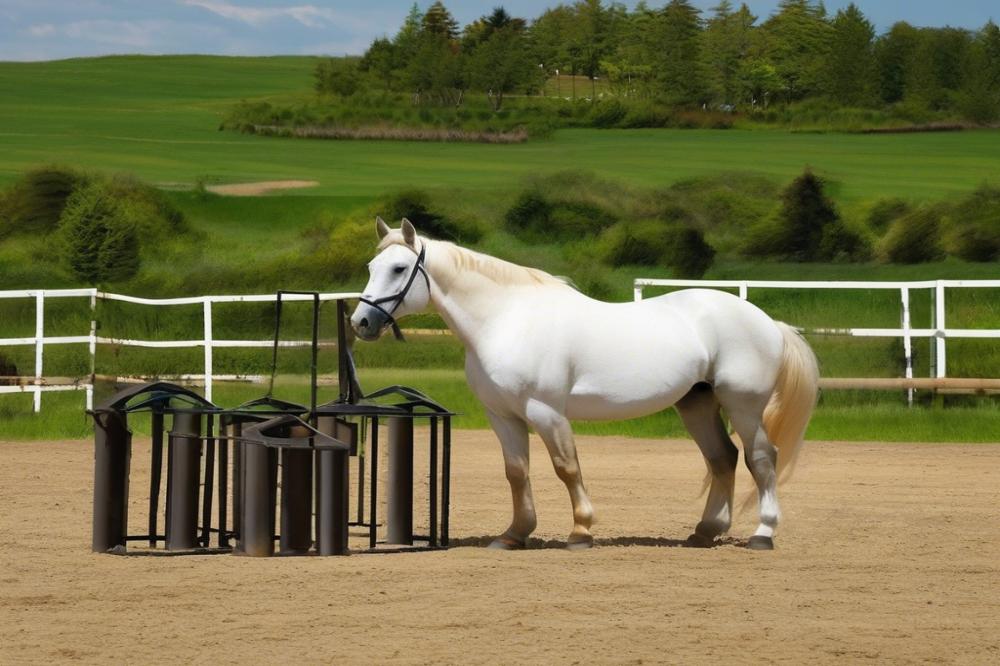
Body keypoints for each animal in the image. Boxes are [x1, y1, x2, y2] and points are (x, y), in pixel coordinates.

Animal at [351, 218, 820, 551]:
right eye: (371, 267)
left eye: (398, 268)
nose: (361, 322)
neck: (505, 320)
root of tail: (767, 323)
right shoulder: (502, 415)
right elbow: (516, 471)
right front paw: (514, 535)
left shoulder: (546, 411)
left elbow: (566, 467)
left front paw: (581, 531)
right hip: (697, 404)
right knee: (723, 458)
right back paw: (705, 532)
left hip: (743, 405)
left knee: (761, 459)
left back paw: (762, 534)